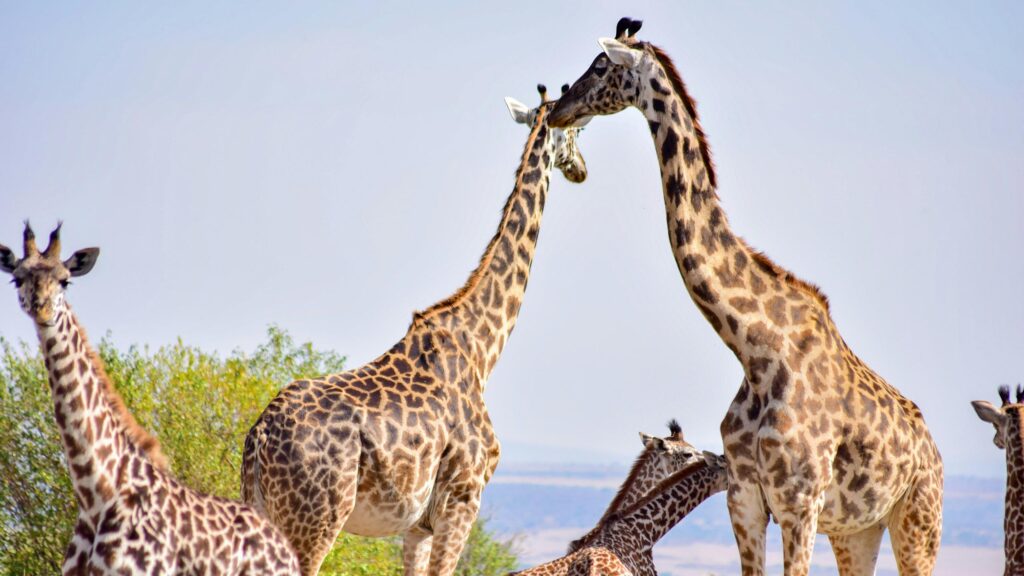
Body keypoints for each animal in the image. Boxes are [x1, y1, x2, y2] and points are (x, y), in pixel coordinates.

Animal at [241, 84, 588, 576]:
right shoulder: (462, 500)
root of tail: (259, 438)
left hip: (262, 508)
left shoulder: (417, 525)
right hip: (314, 521)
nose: (581, 170)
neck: (482, 346)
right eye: (579, 131)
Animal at [548, 17, 944, 576]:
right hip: (858, 530)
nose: (557, 109)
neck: (756, 348)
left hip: (918, 518)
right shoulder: (746, 500)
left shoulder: (799, 504)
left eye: (601, 66)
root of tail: (933, 449)